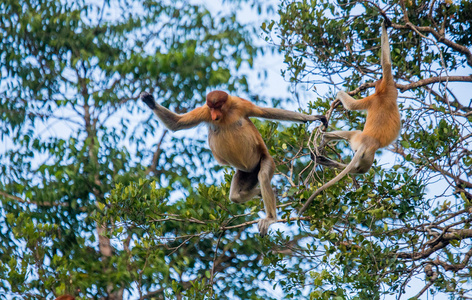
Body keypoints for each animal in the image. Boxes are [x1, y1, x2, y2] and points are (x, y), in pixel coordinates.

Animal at [138, 90, 326, 236]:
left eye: (217, 106)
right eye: (212, 107)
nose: (214, 115)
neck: (225, 114)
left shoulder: (240, 104)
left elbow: (264, 111)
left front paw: (311, 117)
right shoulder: (204, 111)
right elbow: (177, 123)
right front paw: (150, 101)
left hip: (265, 160)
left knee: (263, 176)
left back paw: (270, 217)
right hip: (245, 173)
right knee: (235, 196)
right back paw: (258, 192)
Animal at [298, 21, 398, 216]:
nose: (374, 82)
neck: (381, 95)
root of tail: (367, 142)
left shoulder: (373, 98)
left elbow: (352, 106)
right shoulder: (389, 88)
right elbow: (387, 64)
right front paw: (385, 25)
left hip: (358, 142)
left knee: (352, 143)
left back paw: (322, 149)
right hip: (368, 153)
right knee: (362, 167)